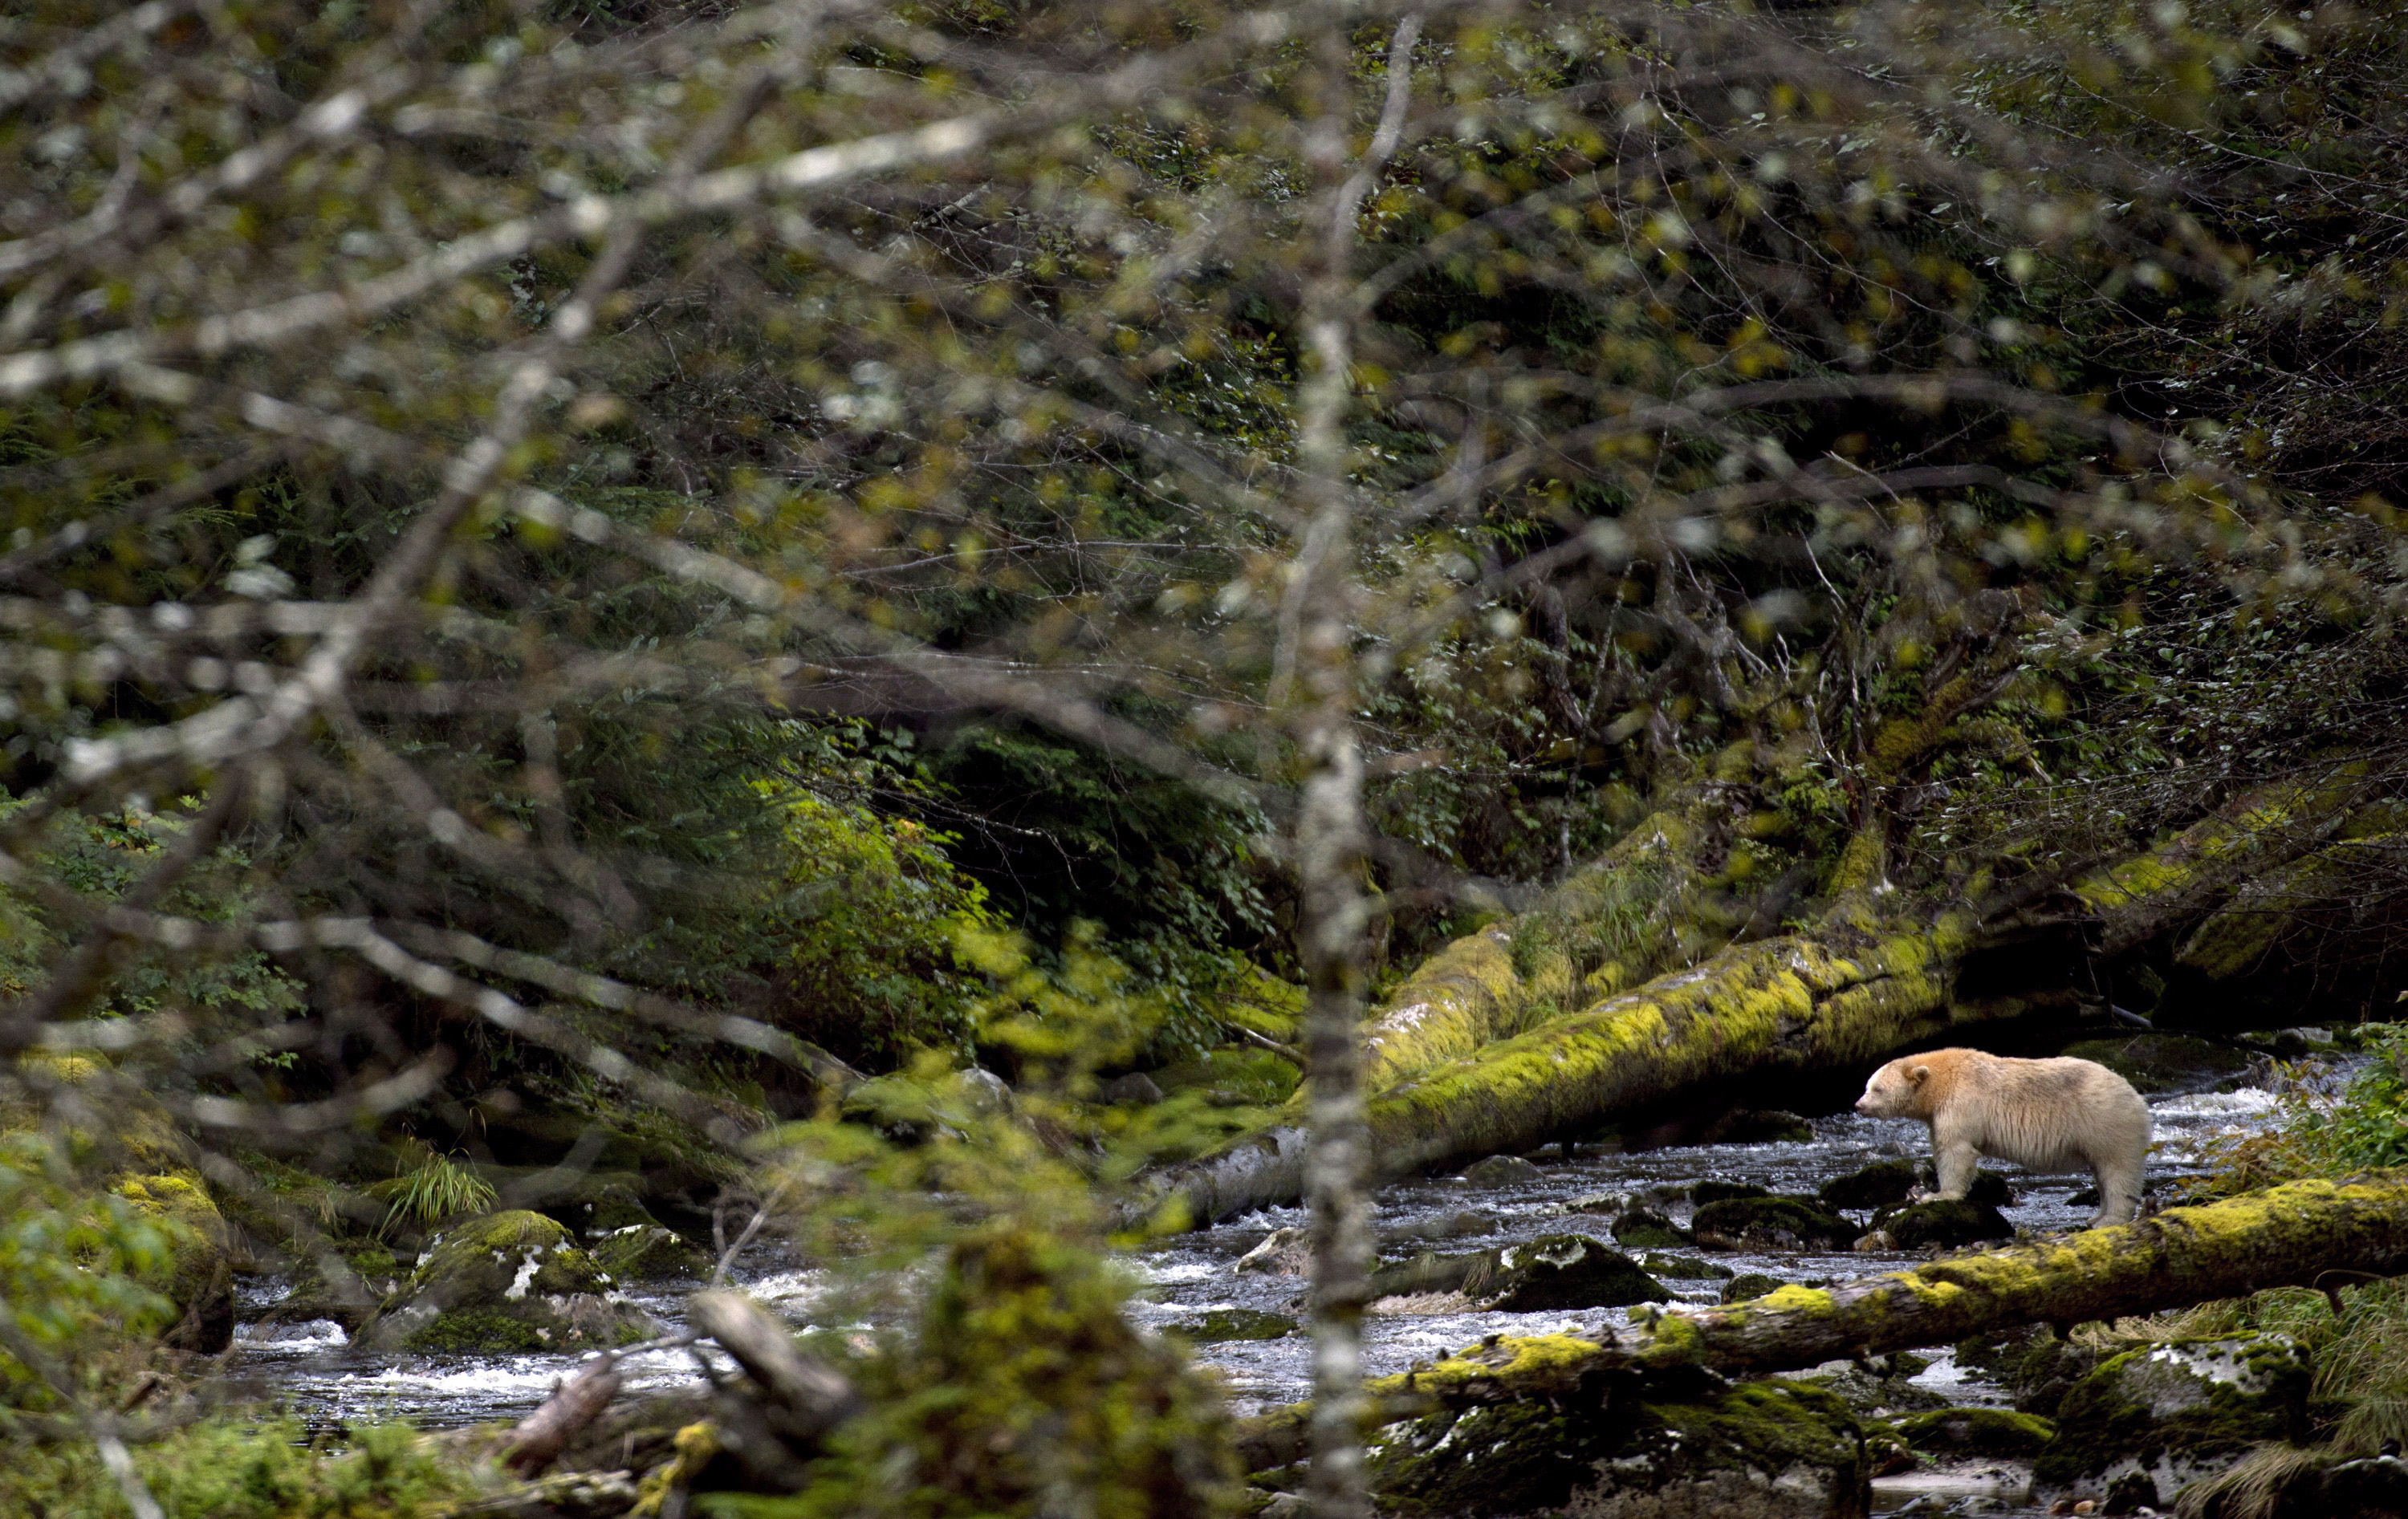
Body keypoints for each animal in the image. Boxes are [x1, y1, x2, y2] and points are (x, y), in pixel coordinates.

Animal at [1854, 1048, 2152, 1227]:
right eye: (1867, 1086)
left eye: (1877, 1089)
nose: (1858, 1105)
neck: (1940, 1081)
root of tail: (2135, 1095)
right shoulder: (1938, 1114)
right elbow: (1941, 1146)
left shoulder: (1961, 1103)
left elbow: (1956, 1151)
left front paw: (1937, 1195)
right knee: (2103, 1172)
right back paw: (2097, 1216)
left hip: (2107, 1122)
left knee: (2118, 1171)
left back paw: (2109, 1219)